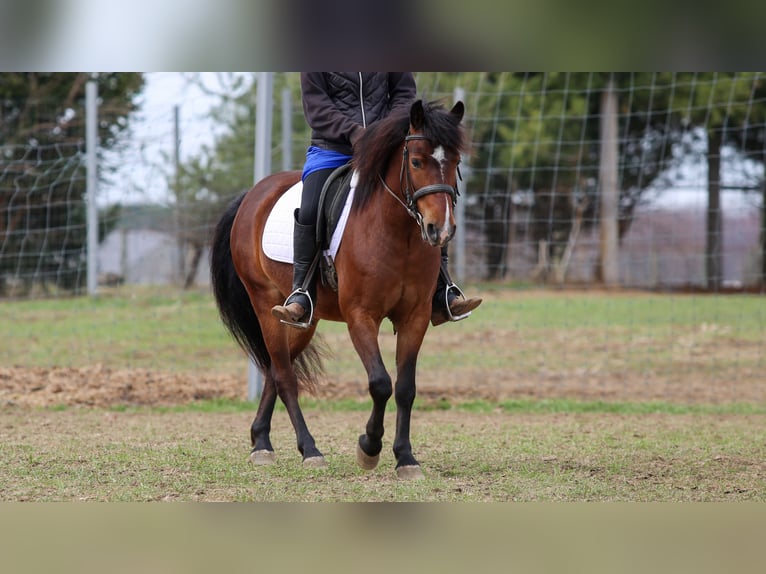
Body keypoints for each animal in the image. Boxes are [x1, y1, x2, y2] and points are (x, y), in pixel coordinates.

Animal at [210, 99, 466, 479]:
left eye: (456, 162)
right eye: (417, 161)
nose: (441, 229)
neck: (397, 233)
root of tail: (252, 195)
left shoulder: (415, 317)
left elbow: (405, 388)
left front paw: (405, 458)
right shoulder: (361, 317)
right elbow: (380, 383)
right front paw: (369, 447)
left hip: (303, 319)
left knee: (275, 370)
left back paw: (261, 442)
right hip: (265, 304)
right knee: (284, 376)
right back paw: (309, 449)